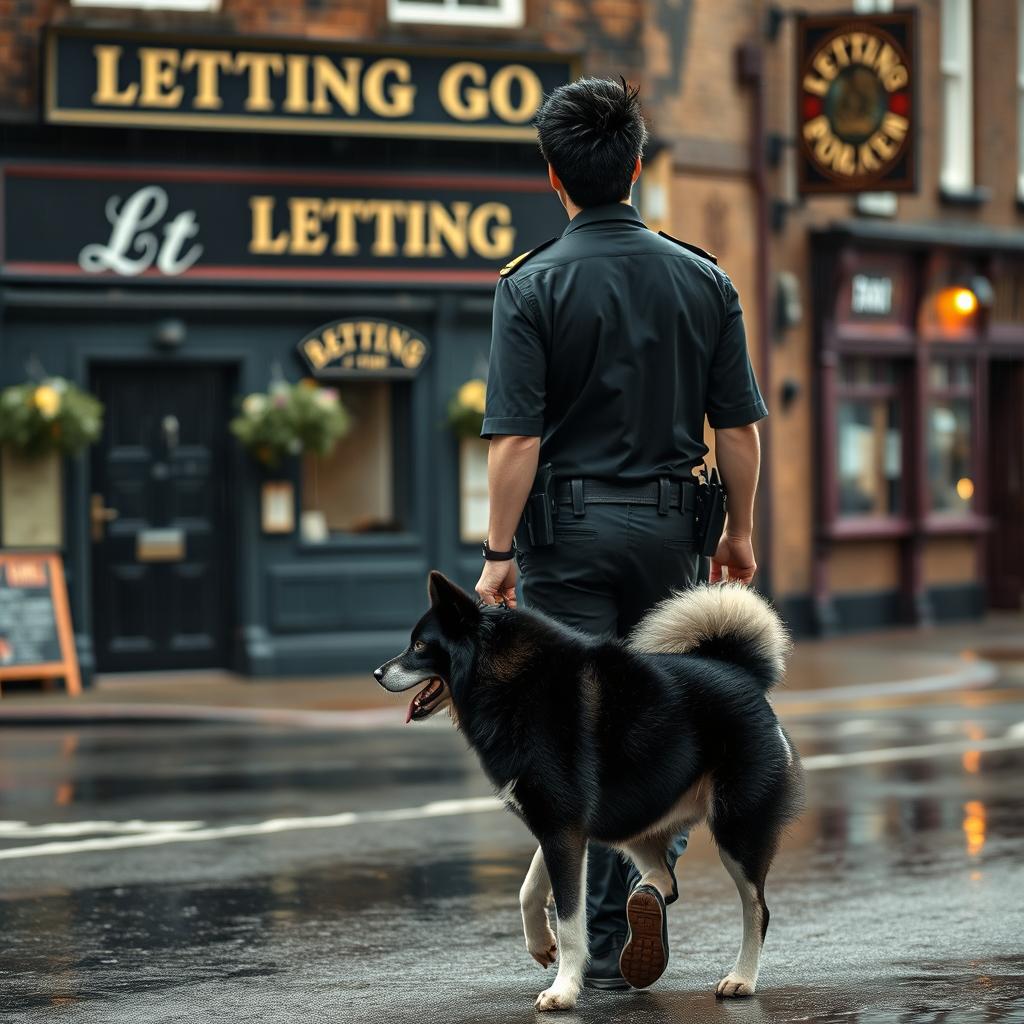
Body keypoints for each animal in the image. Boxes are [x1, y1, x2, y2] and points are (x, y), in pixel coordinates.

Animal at [372, 573, 802, 1011]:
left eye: (420, 646)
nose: (376, 673)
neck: (509, 680)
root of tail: (741, 673)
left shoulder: (562, 828)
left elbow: (570, 921)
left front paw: (563, 990)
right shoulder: (560, 825)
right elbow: (528, 889)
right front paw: (541, 943)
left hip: (736, 832)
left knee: (757, 909)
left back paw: (741, 978)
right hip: (627, 823)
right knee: (665, 878)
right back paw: (646, 899)